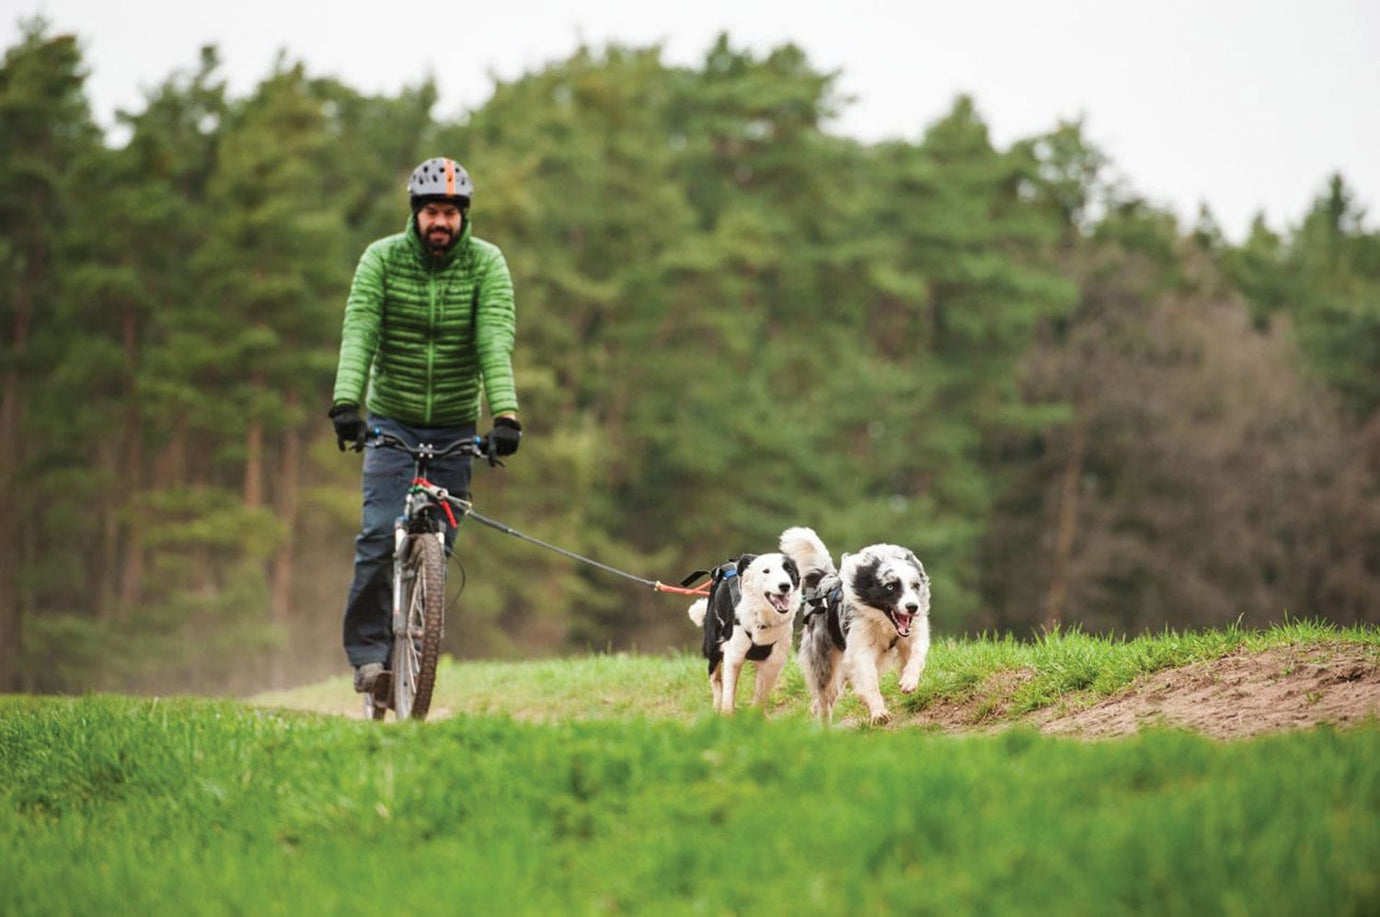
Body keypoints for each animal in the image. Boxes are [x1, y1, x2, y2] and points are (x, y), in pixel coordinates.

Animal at [687, 552, 805, 718]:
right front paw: (727, 716)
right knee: (715, 678)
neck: (762, 619)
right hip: (713, 647)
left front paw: (756, 717)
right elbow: (729, 692)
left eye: (789, 570)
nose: (784, 586)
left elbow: (761, 695)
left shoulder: (774, 661)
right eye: (766, 571)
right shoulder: (734, 655)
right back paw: (716, 707)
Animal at [783, 527, 932, 729]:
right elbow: (869, 681)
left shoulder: (914, 632)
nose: (912, 607)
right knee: (824, 697)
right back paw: (824, 726)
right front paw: (879, 713)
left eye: (915, 585)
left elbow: (916, 653)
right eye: (890, 587)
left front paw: (909, 681)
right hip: (825, 661)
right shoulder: (861, 647)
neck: (884, 623)